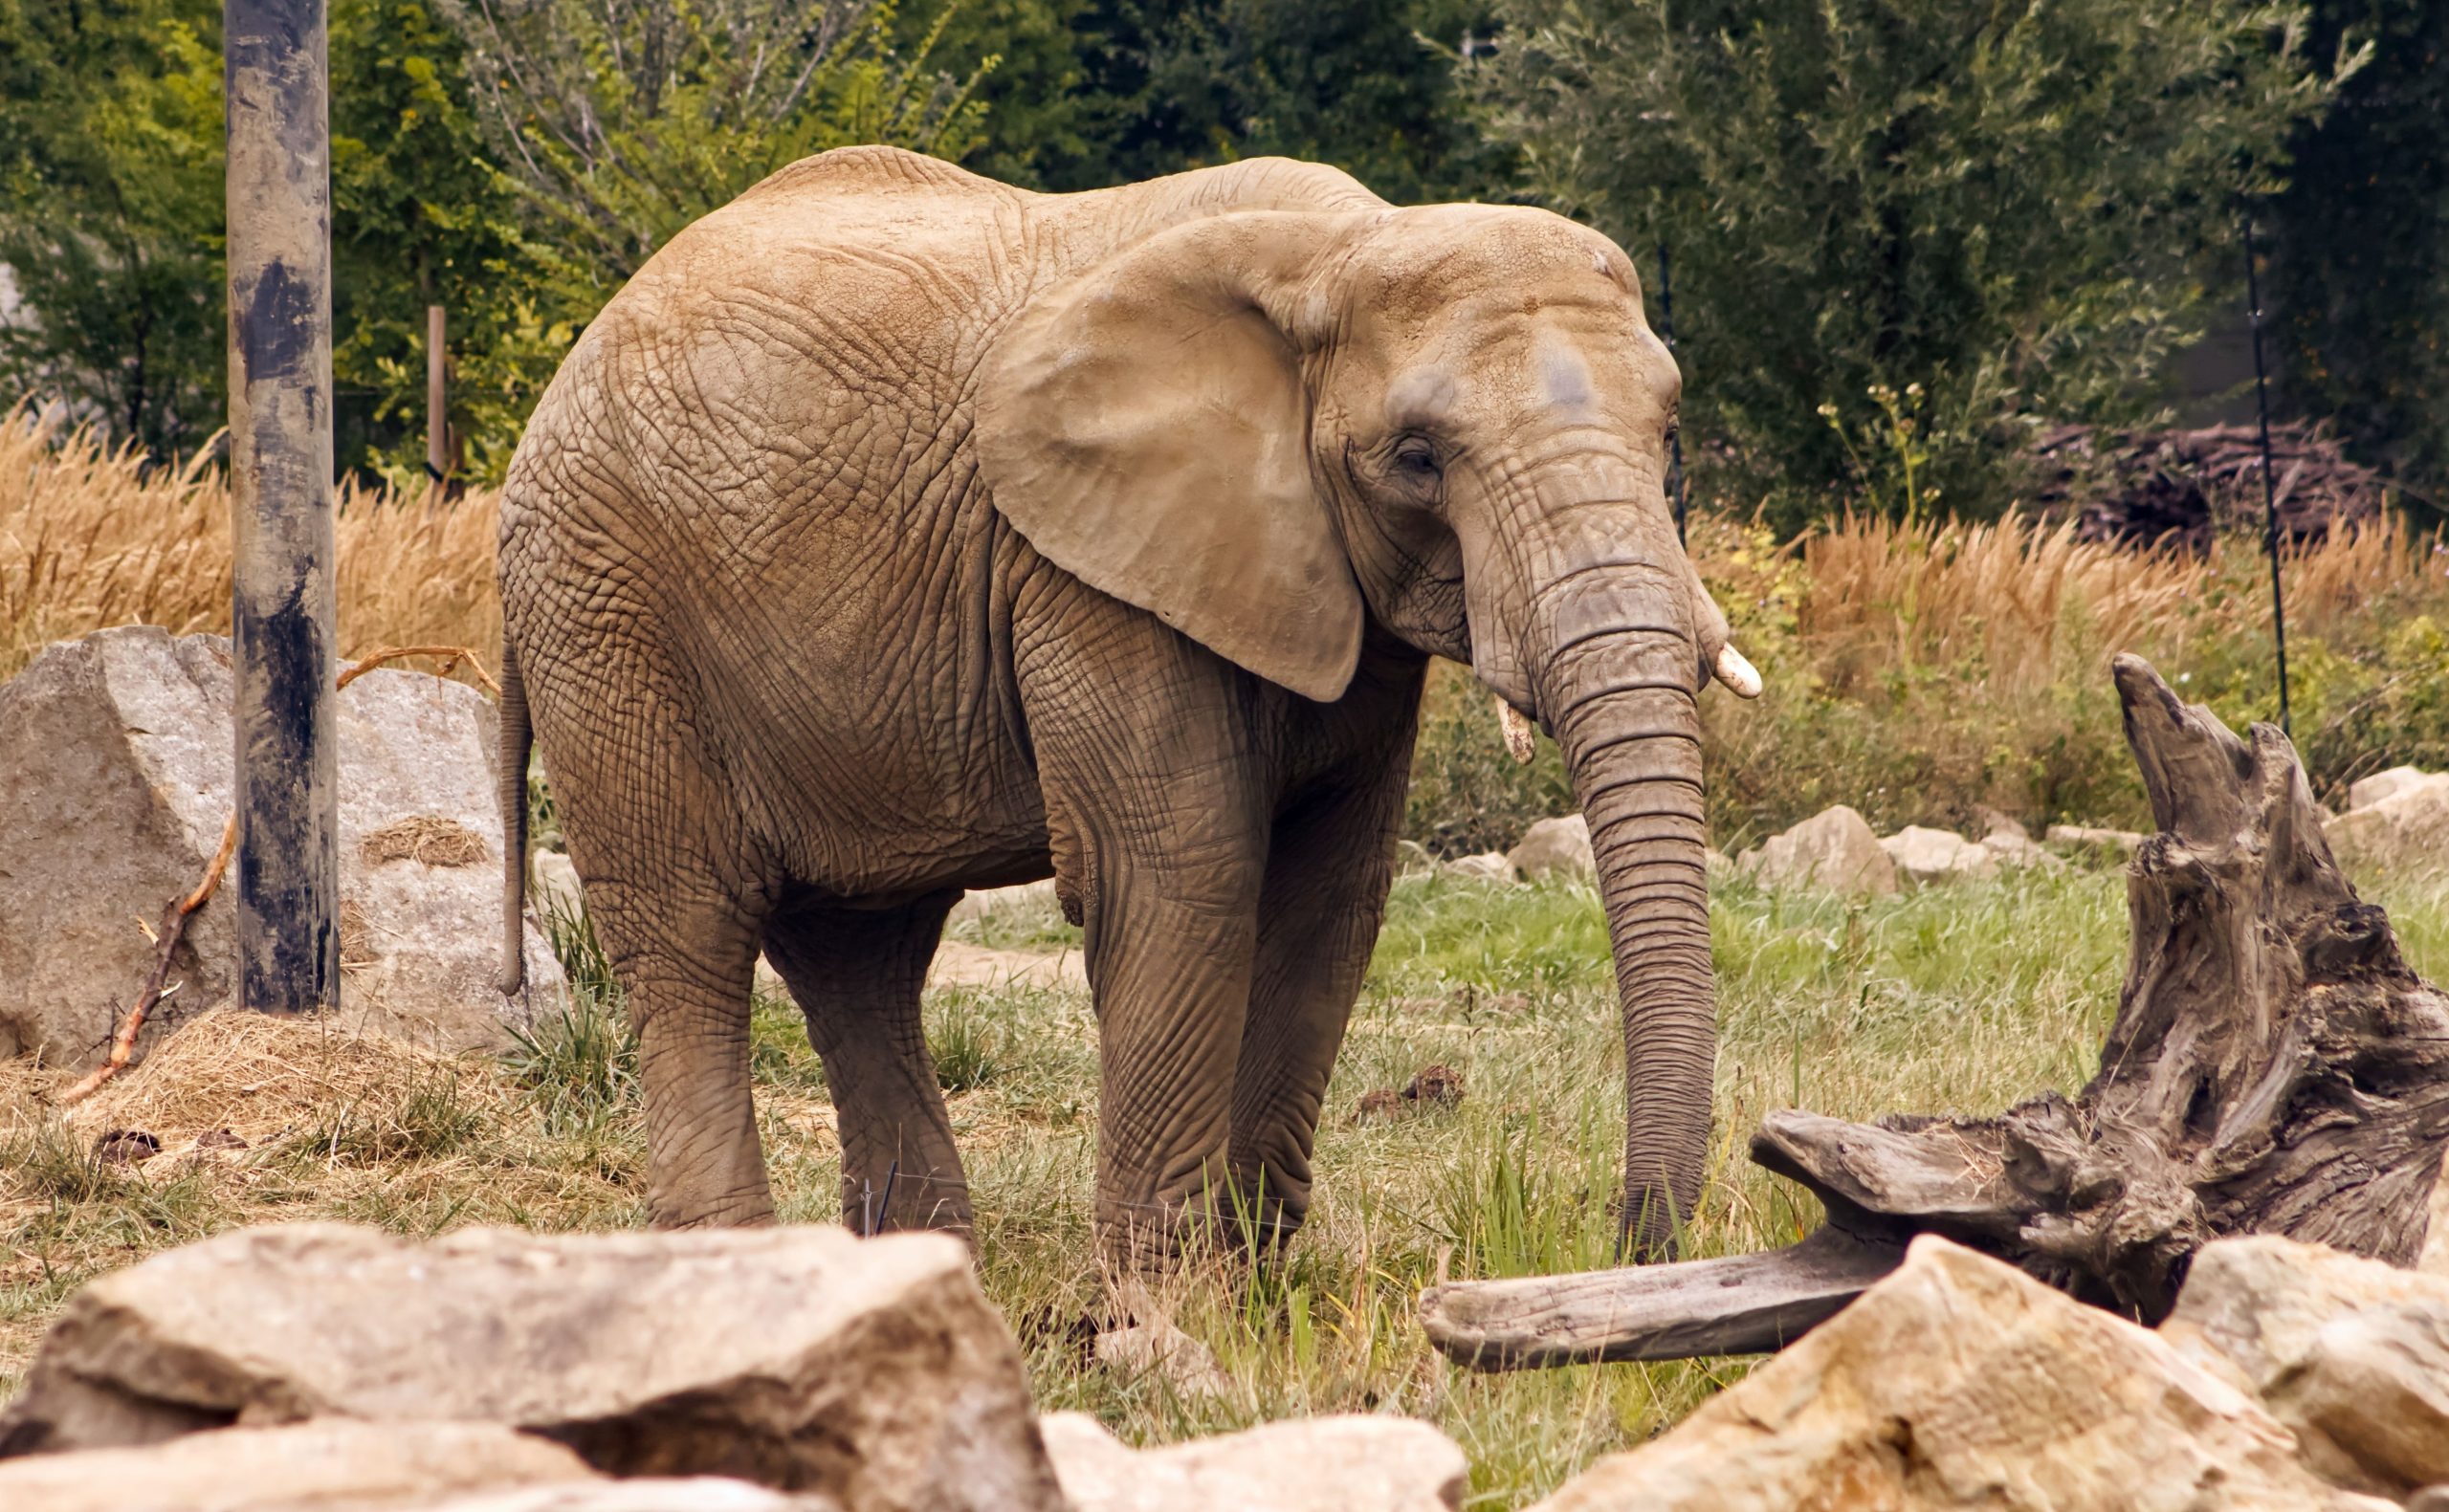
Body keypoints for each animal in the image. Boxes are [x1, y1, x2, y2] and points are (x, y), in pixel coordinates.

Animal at [495, 145, 1759, 1268]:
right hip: (603, 610)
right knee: (689, 930)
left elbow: (1330, 893)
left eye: (1669, 433)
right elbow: (1179, 869)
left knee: (860, 946)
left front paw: (1260, 1284)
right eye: (1416, 458)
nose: (1626, 1241)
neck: (1342, 248)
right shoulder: (1084, 569)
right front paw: (1165, 1304)